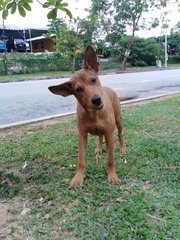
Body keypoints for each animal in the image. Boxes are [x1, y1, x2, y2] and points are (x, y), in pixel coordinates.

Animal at [48, 45, 128, 188]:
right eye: (78, 89)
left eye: (93, 80)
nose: (96, 99)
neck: (94, 114)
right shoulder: (82, 134)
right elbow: (81, 160)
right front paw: (78, 178)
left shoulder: (109, 134)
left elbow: (111, 159)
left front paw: (112, 175)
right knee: (100, 137)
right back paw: (98, 149)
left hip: (118, 120)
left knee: (120, 134)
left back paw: (122, 148)